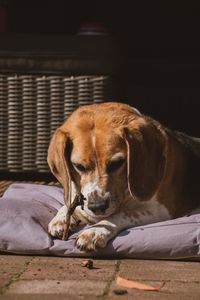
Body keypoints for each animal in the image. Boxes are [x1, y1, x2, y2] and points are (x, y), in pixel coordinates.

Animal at [47, 102, 200, 250]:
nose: (97, 206)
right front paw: (60, 219)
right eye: (79, 166)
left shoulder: (161, 210)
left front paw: (96, 231)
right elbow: (69, 204)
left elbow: (121, 215)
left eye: (117, 163)